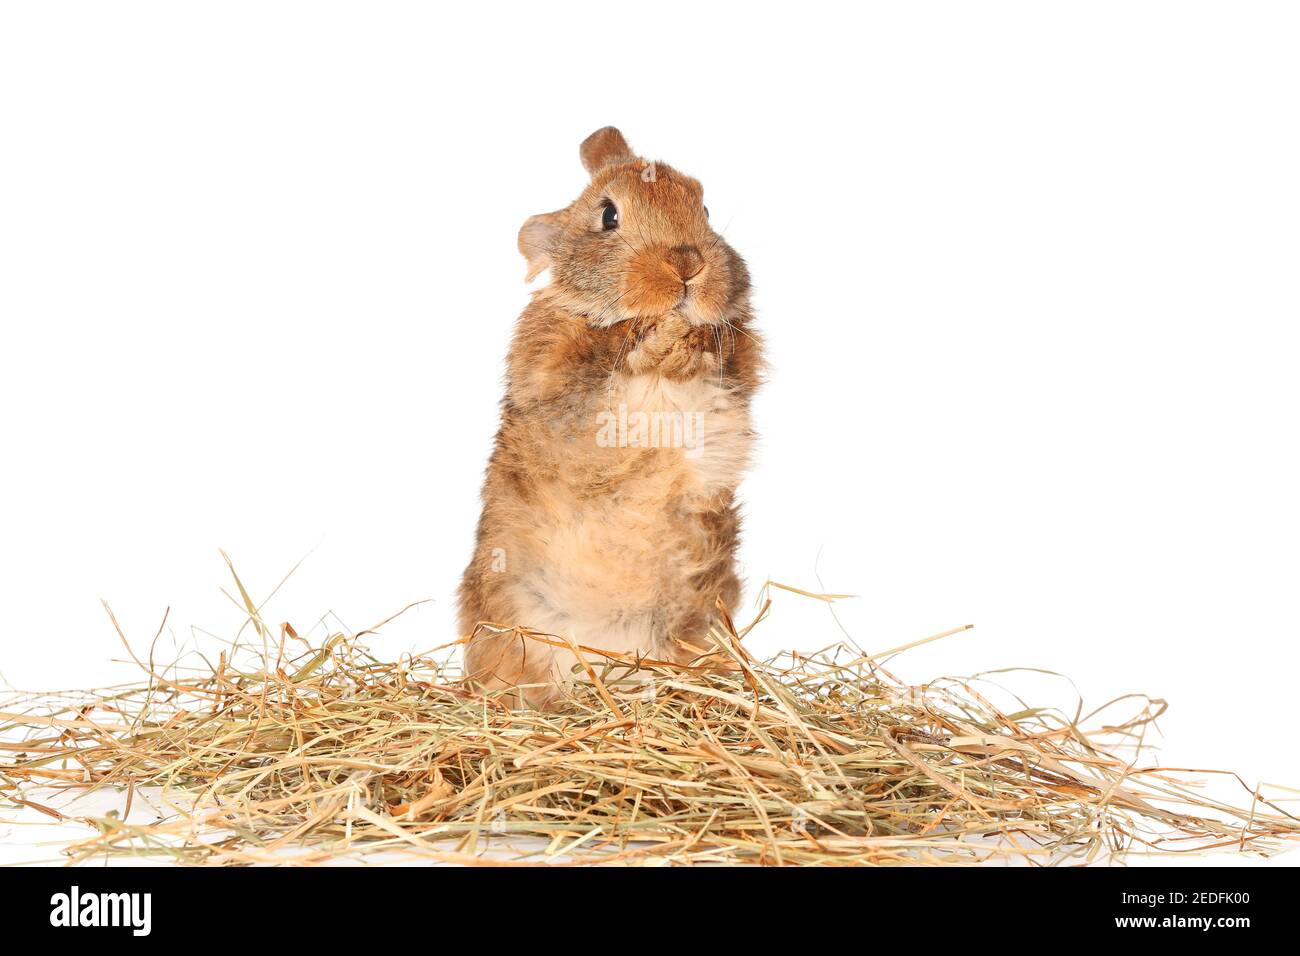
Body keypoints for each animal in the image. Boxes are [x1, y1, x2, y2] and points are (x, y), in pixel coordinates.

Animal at [458, 127, 763, 707]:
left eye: (704, 207)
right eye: (608, 215)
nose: (686, 264)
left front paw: (685, 342)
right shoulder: (554, 373)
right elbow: (601, 361)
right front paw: (656, 341)